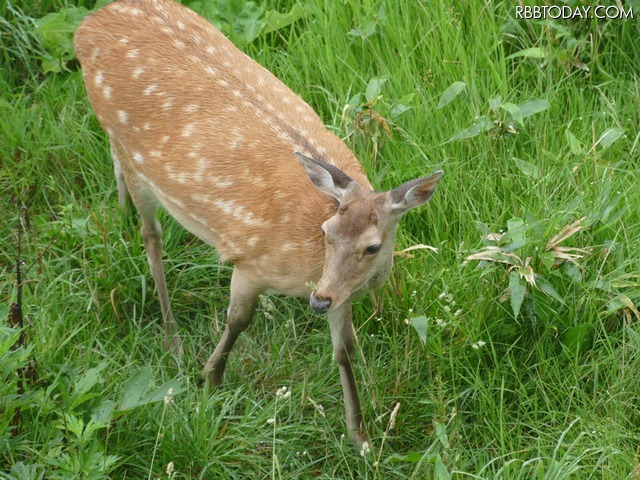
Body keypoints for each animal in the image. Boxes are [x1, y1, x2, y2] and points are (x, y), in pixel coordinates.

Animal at [75, 0, 442, 446]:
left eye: (372, 247)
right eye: (327, 234)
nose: (318, 300)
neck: (307, 263)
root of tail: (87, 25)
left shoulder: (342, 294)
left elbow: (344, 351)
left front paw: (359, 437)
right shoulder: (252, 261)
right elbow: (238, 321)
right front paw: (210, 380)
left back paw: (122, 211)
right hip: (136, 158)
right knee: (151, 236)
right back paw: (172, 339)